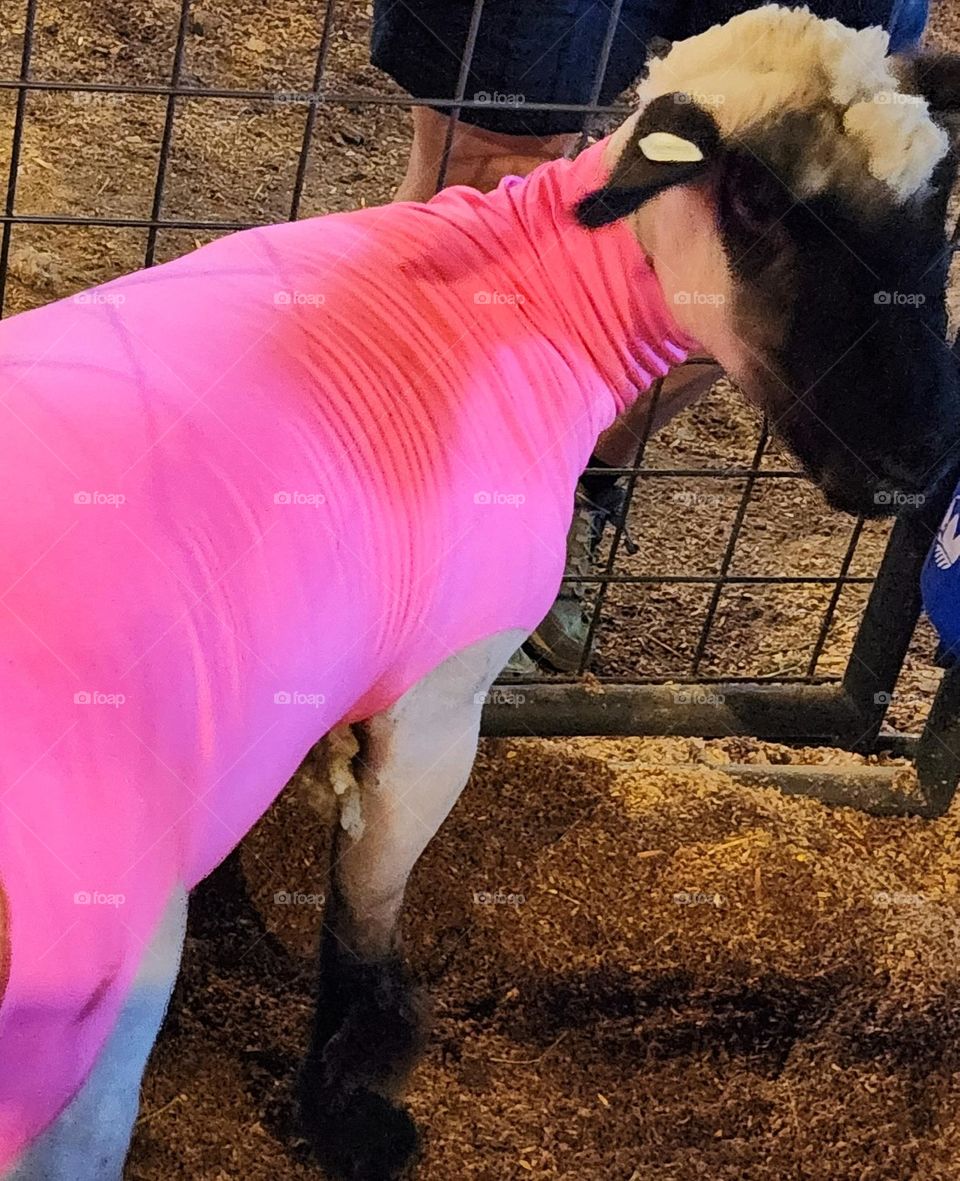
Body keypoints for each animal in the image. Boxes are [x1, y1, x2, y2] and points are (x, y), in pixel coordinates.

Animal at [0, 4, 954, 1176]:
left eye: (939, 208)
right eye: (758, 202)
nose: (921, 462)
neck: (536, 288)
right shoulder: (441, 695)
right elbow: (367, 903)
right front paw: (350, 1105)